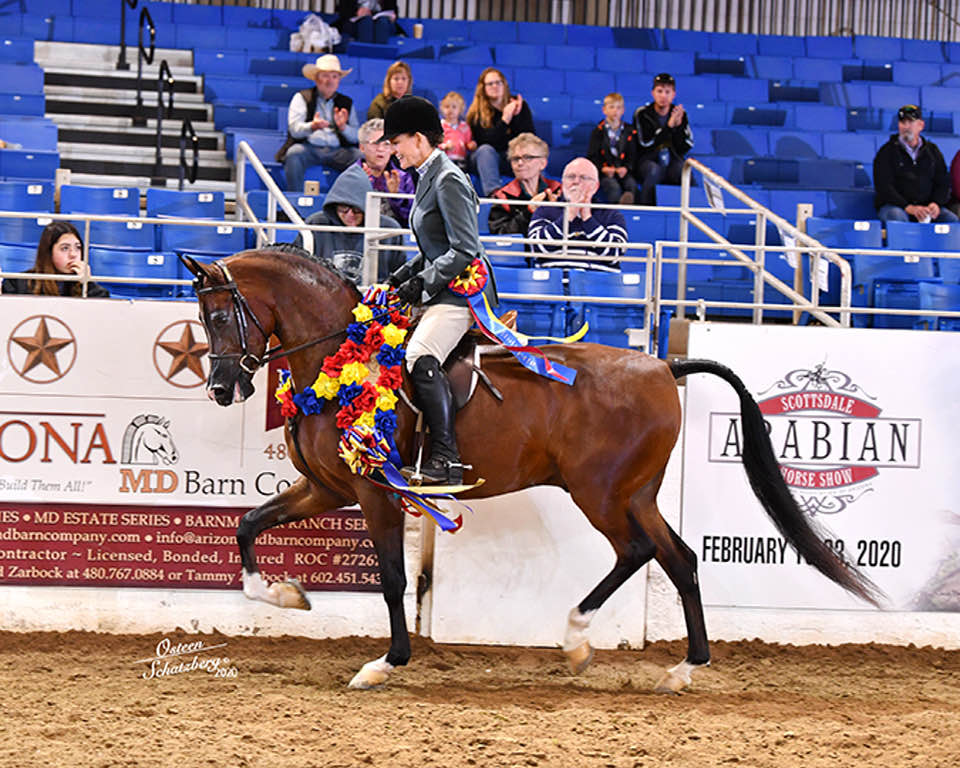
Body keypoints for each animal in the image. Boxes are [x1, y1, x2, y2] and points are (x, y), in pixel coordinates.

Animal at [181, 245, 880, 692]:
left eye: (217, 316)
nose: (220, 388)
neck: (337, 356)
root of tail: (662, 364)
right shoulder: (327, 487)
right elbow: (247, 524)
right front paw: (282, 595)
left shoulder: (374, 491)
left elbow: (392, 580)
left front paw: (386, 664)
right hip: (635, 492)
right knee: (676, 558)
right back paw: (681, 667)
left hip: (601, 492)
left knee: (637, 552)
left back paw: (579, 637)